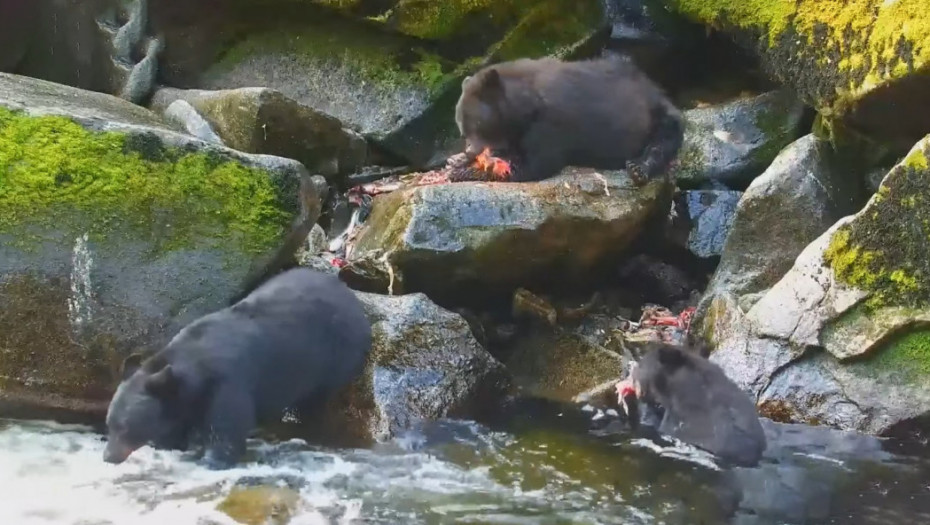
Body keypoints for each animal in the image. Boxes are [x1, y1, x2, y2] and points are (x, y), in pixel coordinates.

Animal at [103, 267, 373, 469]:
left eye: (125, 427)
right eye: (109, 423)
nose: (108, 456)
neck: (195, 371)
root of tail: (350, 295)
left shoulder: (227, 384)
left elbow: (226, 427)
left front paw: (213, 459)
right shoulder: (181, 398)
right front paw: (168, 444)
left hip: (335, 358)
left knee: (313, 400)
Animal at [454, 54, 684, 184]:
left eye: (477, 123)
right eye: (461, 127)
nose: (469, 150)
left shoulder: (550, 125)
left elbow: (535, 164)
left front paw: (468, 171)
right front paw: (458, 162)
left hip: (654, 114)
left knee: (664, 139)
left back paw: (639, 168)